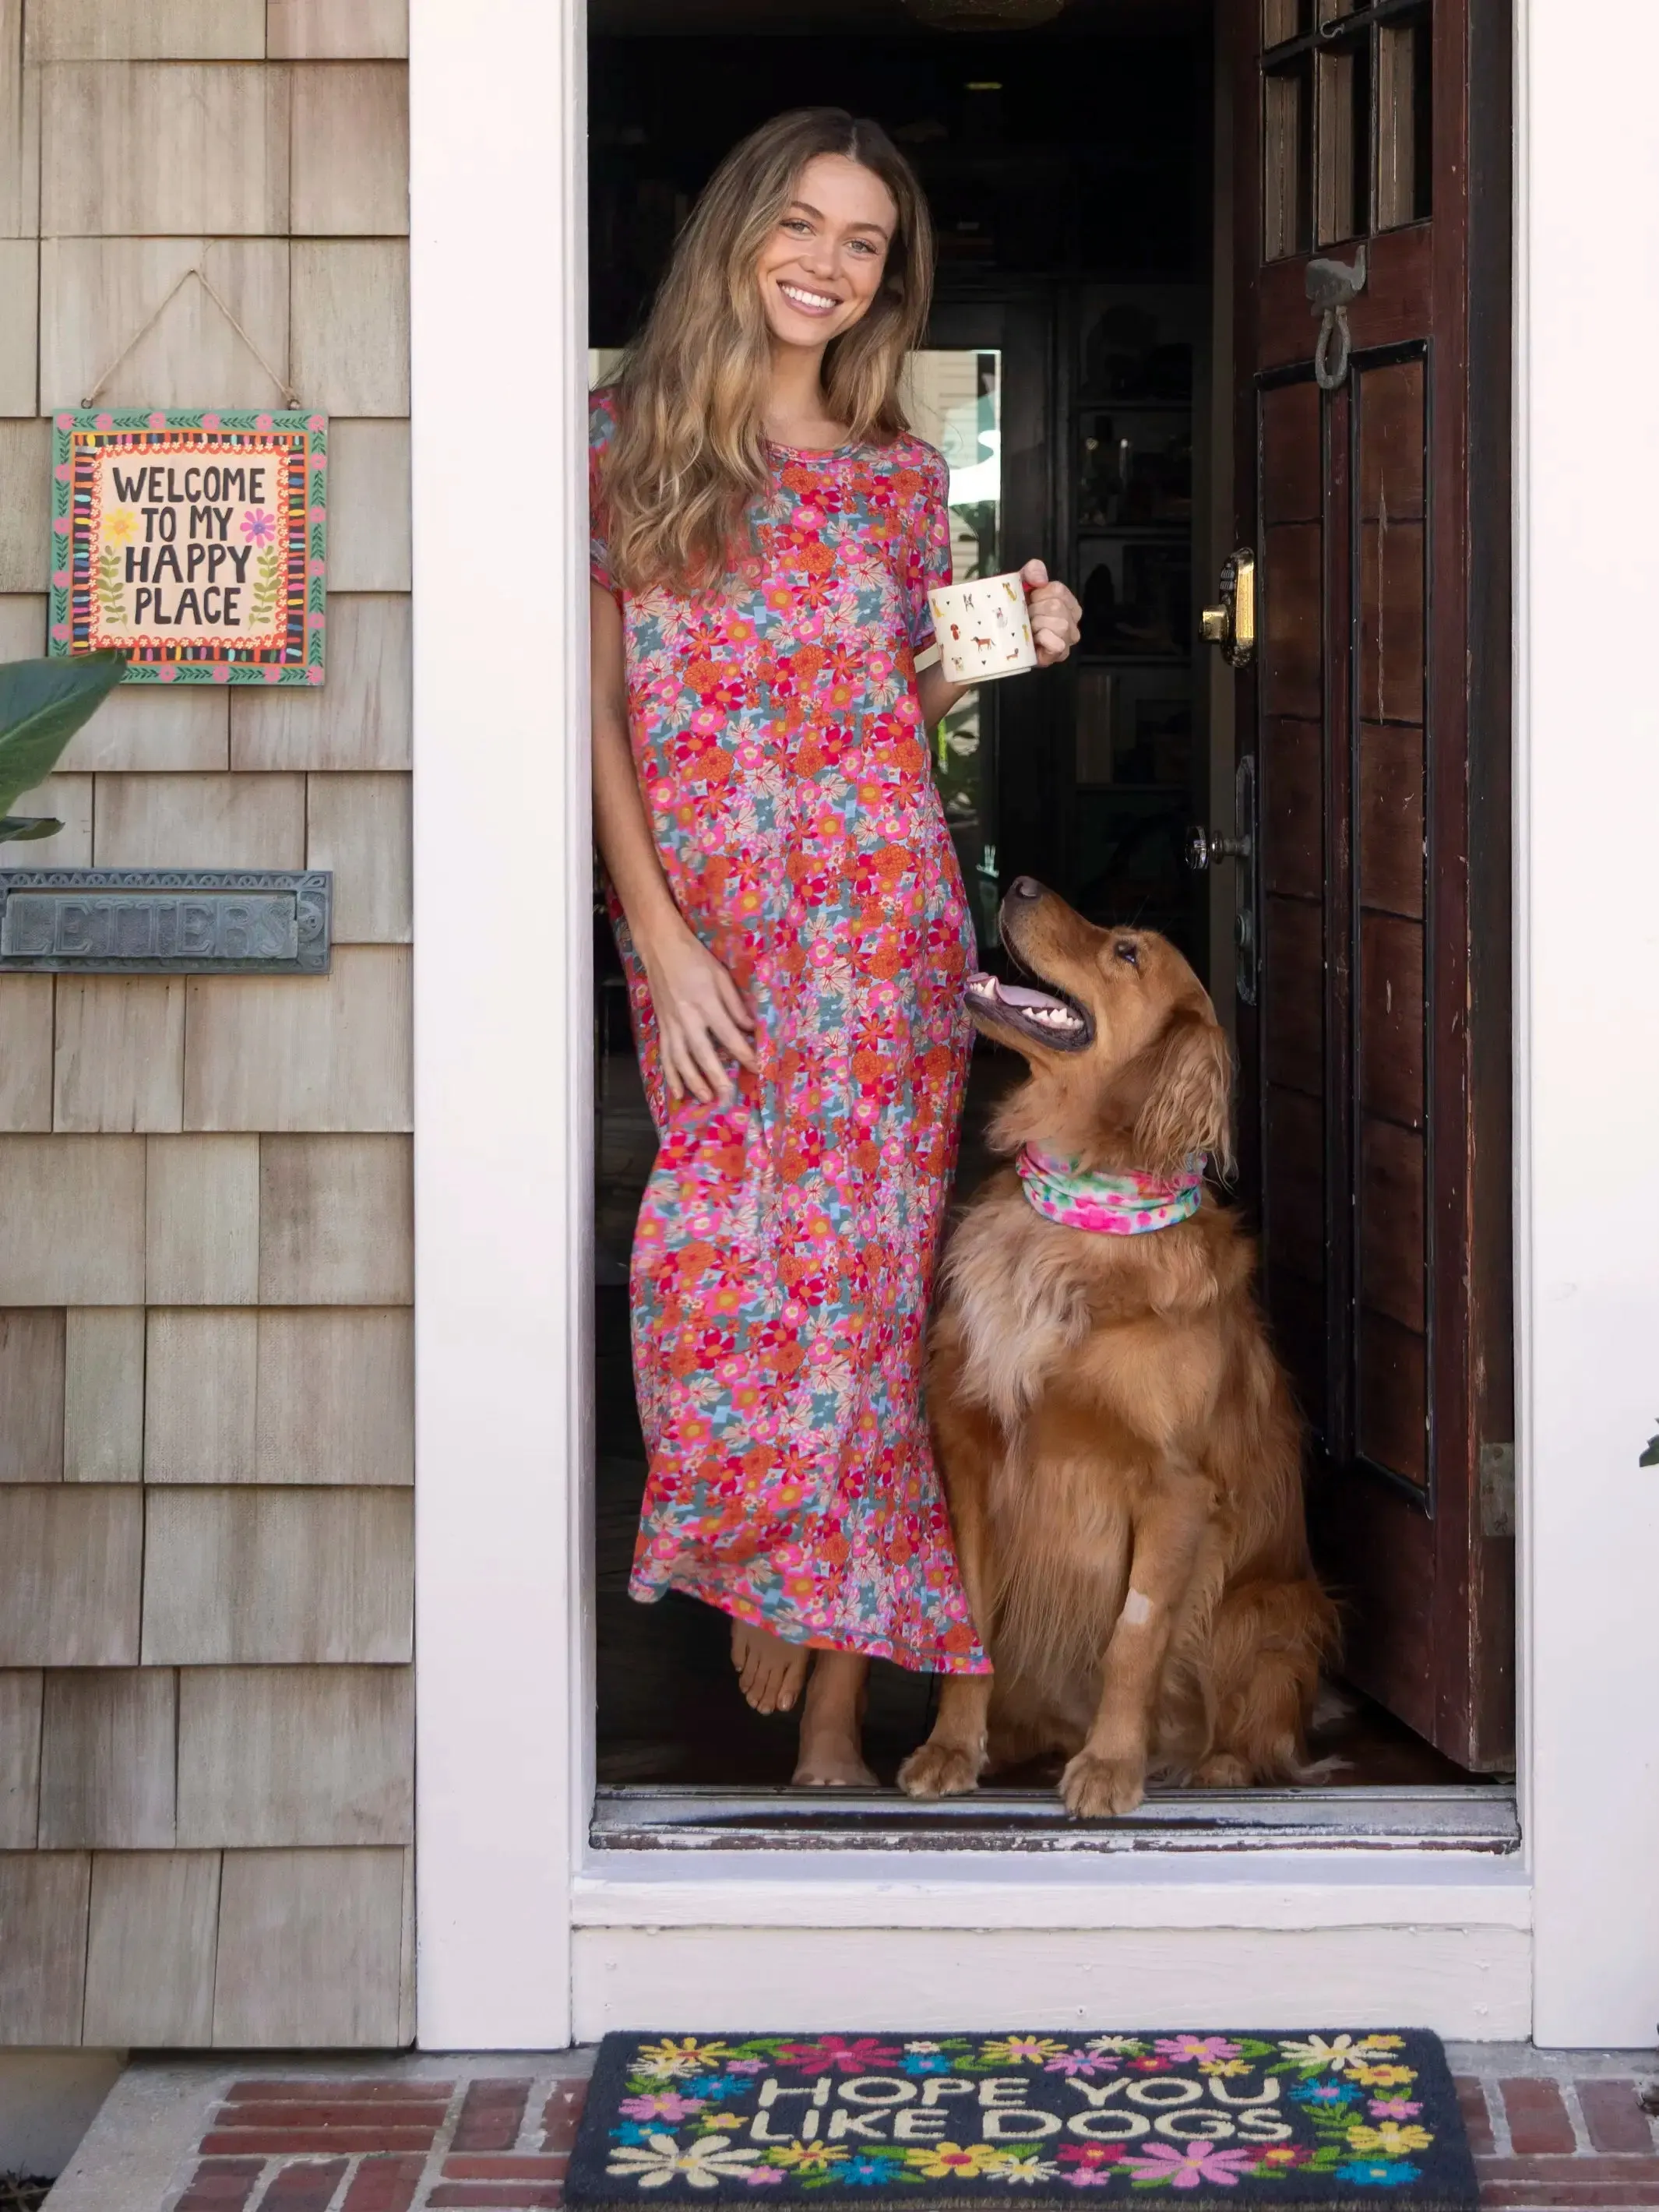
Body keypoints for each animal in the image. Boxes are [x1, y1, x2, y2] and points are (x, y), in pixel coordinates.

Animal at [898, 875, 1336, 1813]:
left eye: (1127, 952)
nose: (1022, 880)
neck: (1075, 1216)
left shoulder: (1173, 1486)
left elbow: (1134, 1638)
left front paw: (1108, 1764)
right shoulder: (971, 1452)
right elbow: (967, 1624)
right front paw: (951, 1747)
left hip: (1268, 1609)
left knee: (1258, 1724)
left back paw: (1214, 1763)